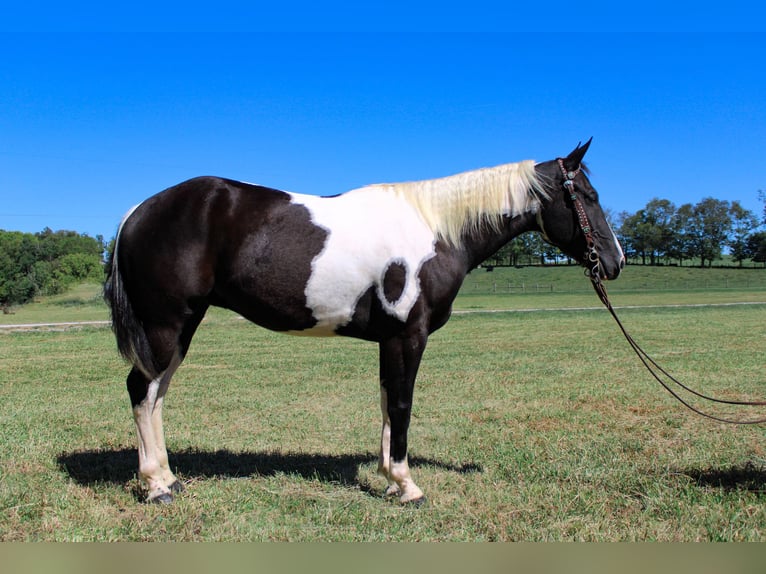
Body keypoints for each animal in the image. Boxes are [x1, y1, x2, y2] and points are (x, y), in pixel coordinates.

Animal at [105, 142, 628, 506]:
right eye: (587, 195)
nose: (615, 261)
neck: (436, 230)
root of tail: (137, 211)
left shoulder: (388, 340)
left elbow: (385, 401)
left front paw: (389, 479)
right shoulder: (408, 335)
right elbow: (401, 404)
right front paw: (408, 486)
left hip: (181, 329)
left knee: (156, 394)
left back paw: (167, 478)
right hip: (165, 324)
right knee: (141, 389)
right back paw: (156, 487)